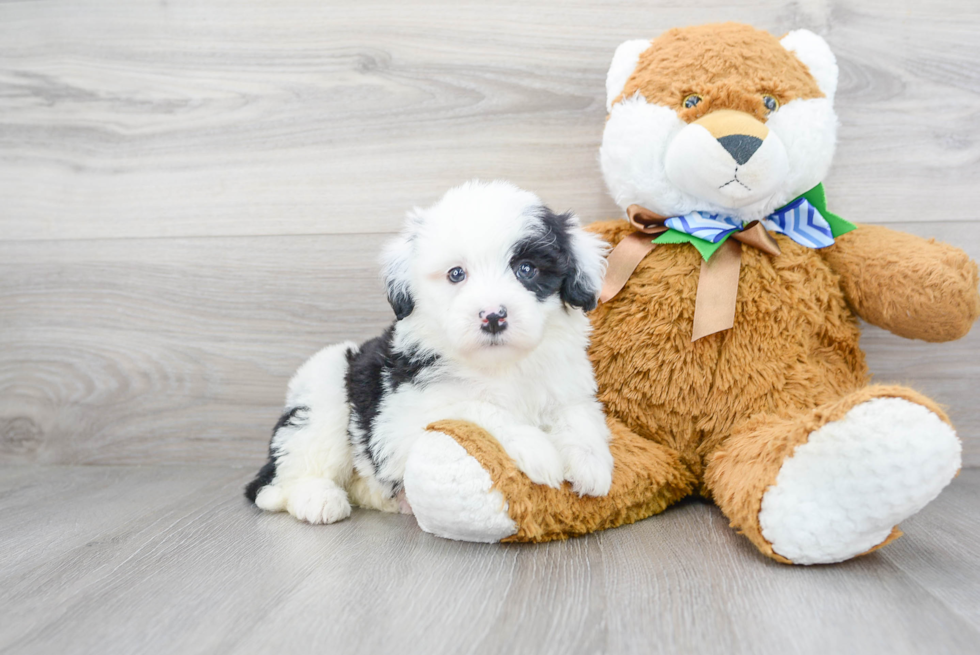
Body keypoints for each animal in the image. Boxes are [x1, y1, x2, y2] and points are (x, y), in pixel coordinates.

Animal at [245, 181, 612, 528]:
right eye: (456, 274)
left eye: (526, 269)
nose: (493, 316)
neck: (498, 365)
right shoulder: (402, 418)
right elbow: (476, 407)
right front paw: (537, 449)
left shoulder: (566, 383)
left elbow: (578, 415)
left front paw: (591, 464)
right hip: (325, 393)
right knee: (287, 474)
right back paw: (318, 499)